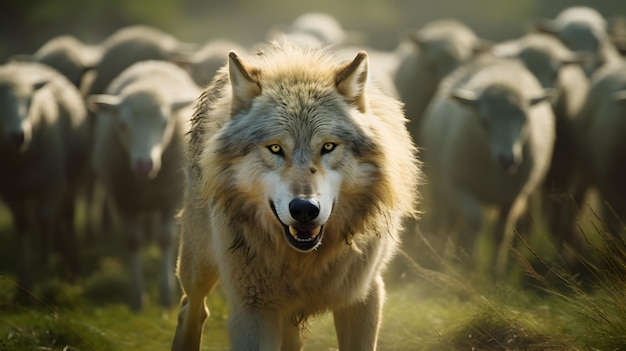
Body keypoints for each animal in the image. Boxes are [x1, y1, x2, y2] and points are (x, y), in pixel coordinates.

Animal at [0, 61, 91, 300]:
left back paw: (71, 264)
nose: (18, 135)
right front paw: (24, 282)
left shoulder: (52, 181)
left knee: (64, 216)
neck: (19, 159)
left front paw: (46, 268)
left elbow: (45, 219)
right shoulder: (10, 190)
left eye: (29, 101)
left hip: (70, 179)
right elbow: (23, 224)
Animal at [171, 44, 420, 351]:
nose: (304, 209)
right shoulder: (253, 311)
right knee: (191, 308)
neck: (303, 262)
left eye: (328, 146)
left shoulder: (363, 297)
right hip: (199, 269)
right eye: (276, 148)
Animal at [420, 55, 552, 276]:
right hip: (442, 186)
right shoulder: (459, 186)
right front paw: (469, 266)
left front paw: (494, 272)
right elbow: (475, 221)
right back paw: (439, 260)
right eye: (484, 121)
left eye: (525, 120)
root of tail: (496, 60)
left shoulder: (513, 196)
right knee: (448, 222)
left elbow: (501, 231)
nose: (507, 159)